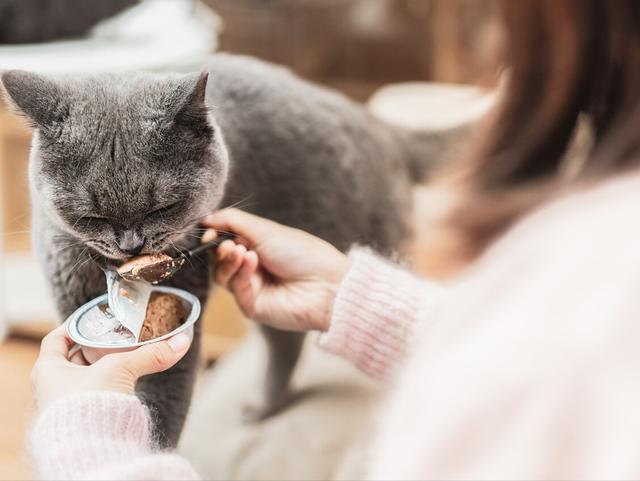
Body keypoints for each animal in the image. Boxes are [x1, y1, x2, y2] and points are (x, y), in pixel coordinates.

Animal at [0, 55, 460, 446]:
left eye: (162, 208)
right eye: (91, 215)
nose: (130, 243)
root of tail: (377, 123)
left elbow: (162, 413)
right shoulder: (66, 293)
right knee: (287, 340)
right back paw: (265, 406)